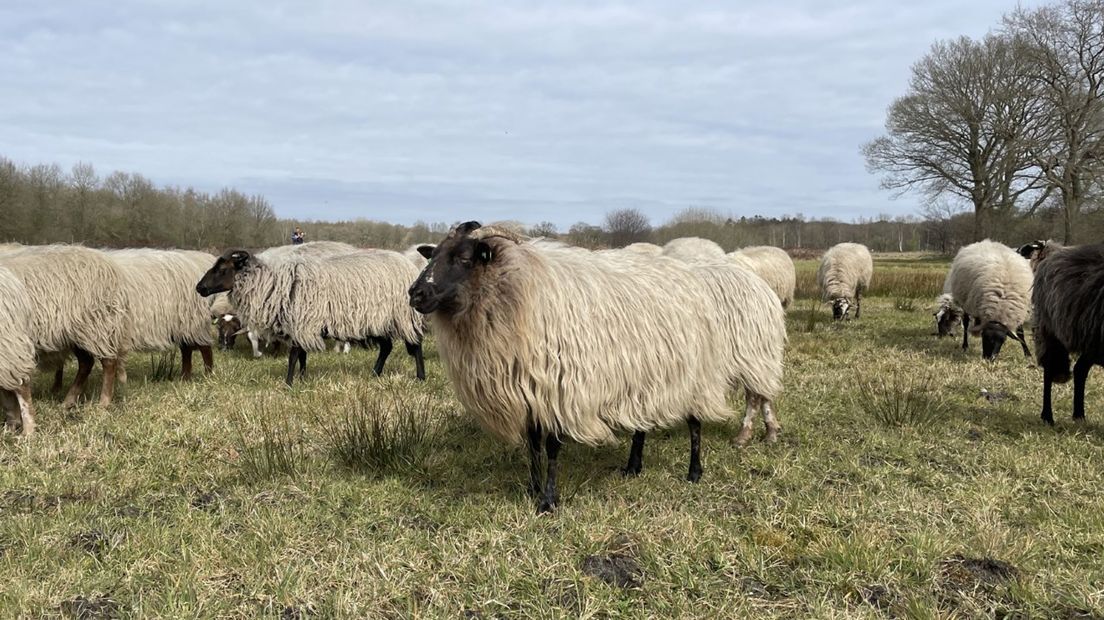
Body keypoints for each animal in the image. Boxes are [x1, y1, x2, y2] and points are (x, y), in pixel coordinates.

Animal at [0, 243, 129, 408]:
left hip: (95, 325)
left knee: (108, 362)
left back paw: (103, 402)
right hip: (74, 333)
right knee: (86, 363)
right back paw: (69, 401)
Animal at [196, 244, 423, 381]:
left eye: (222, 269)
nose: (199, 288)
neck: (272, 282)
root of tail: (408, 265)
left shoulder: (301, 322)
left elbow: (294, 355)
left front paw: (288, 383)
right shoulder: (300, 326)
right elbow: (302, 356)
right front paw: (302, 378)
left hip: (403, 317)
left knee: (414, 345)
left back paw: (420, 377)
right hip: (377, 321)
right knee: (386, 347)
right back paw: (375, 374)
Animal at [408, 221, 786, 511]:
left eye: (464, 257)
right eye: (434, 254)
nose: (415, 294)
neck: (513, 293)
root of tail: (693, 278)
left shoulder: (559, 388)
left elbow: (551, 448)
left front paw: (548, 501)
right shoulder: (530, 388)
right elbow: (532, 444)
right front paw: (532, 488)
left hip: (693, 373)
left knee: (695, 422)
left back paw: (694, 472)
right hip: (643, 376)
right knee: (640, 424)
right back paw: (633, 466)